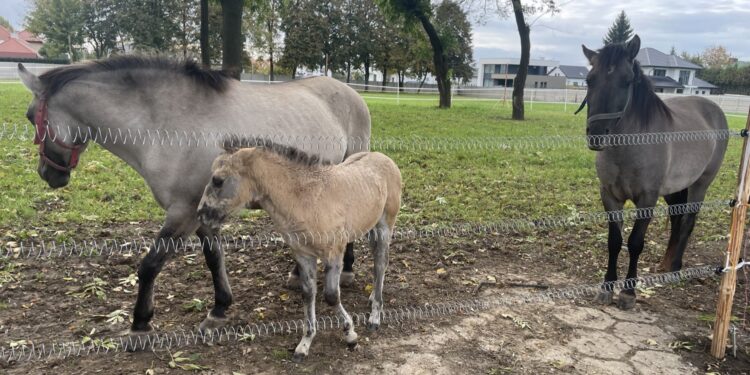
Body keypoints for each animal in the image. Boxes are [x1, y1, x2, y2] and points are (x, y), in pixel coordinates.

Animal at [20, 58, 374, 334]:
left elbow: (150, 264)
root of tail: (348, 91)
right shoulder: (203, 212)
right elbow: (213, 258)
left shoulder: (183, 212)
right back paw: (298, 273)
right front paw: (220, 308)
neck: (166, 123)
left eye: (29, 116)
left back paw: (347, 270)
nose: (47, 173)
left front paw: (141, 322)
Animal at [584, 36, 732, 312]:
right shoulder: (610, 196)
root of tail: (713, 109)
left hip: (700, 185)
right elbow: (614, 241)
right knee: (676, 219)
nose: (597, 134)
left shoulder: (647, 198)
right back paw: (664, 264)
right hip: (675, 190)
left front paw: (628, 293)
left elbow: (635, 243)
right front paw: (607, 287)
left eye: (627, 80)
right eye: (590, 80)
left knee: (688, 221)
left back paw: (675, 269)